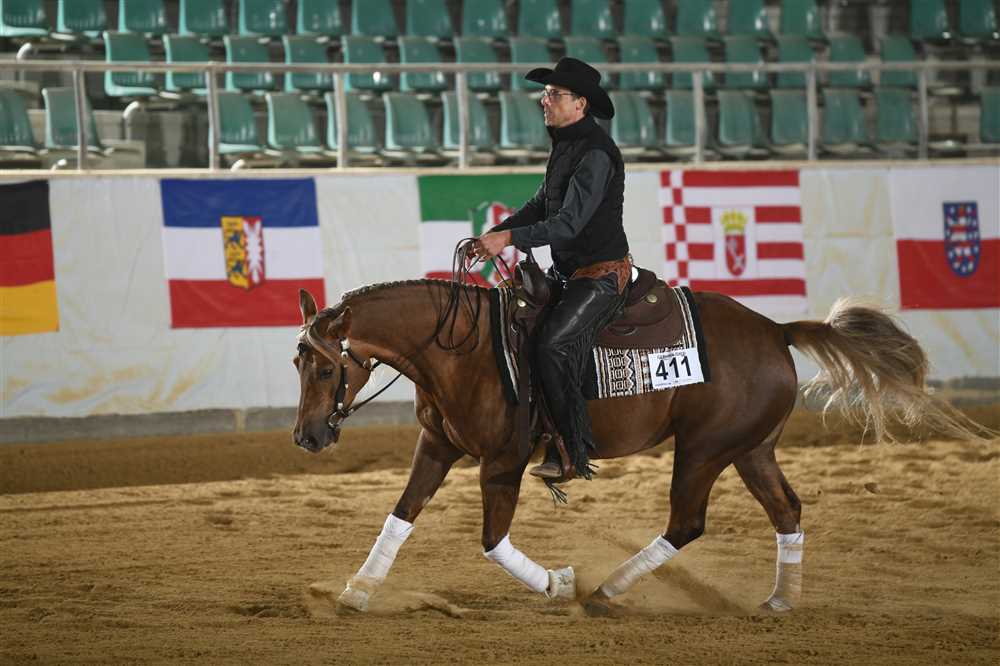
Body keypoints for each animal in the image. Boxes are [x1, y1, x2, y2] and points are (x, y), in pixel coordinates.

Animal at [292, 273, 985, 615]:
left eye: (325, 367)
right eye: (298, 362)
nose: (307, 436)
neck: (464, 349)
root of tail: (776, 329)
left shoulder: (503, 463)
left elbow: (492, 542)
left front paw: (558, 584)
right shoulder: (436, 446)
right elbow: (400, 515)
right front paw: (356, 592)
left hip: (703, 450)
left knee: (687, 522)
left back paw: (604, 593)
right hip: (750, 449)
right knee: (786, 510)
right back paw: (781, 600)